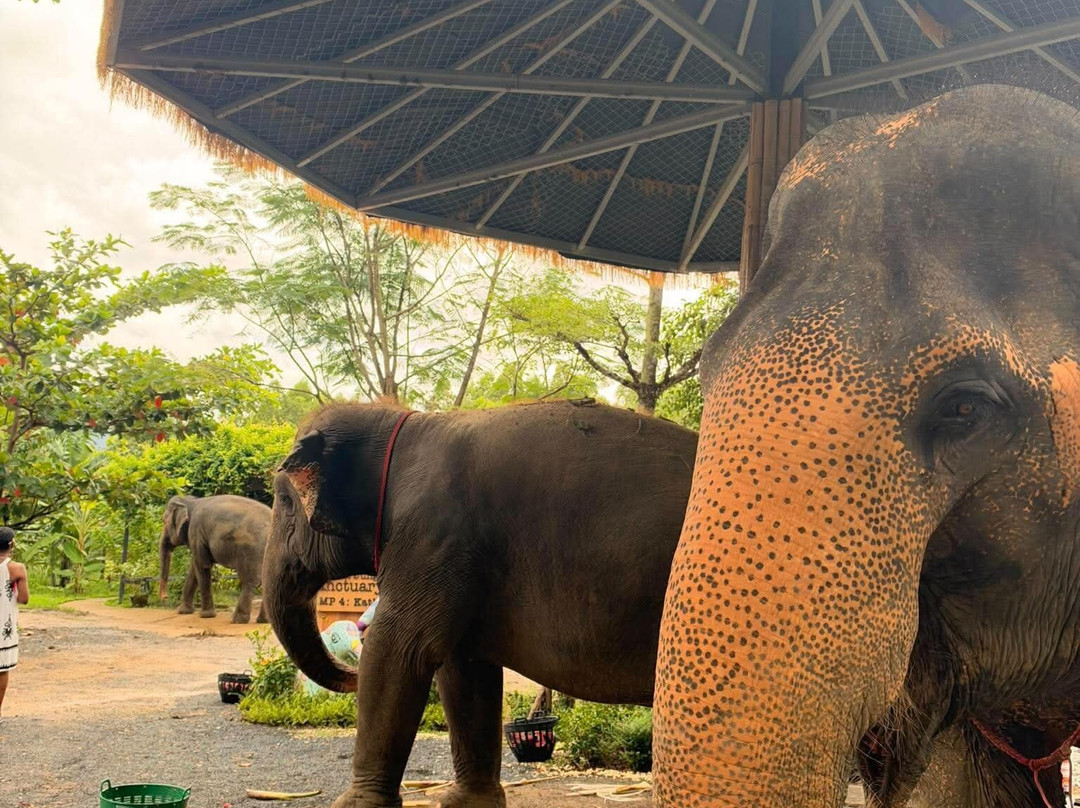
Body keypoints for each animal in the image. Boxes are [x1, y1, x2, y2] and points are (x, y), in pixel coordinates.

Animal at [159, 495, 271, 624]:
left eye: (164, 521)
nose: (165, 597)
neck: (190, 500)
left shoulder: (196, 532)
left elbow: (202, 566)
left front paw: (206, 616)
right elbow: (195, 568)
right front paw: (183, 612)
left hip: (250, 549)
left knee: (249, 581)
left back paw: (237, 620)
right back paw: (263, 621)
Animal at [262, 400, 697, 808]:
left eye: (284, 500)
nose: (354, 640)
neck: (400, 423)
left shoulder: (431, 537)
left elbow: (397, 650)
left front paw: (355, 804)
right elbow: (464, 668)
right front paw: (467, 802)